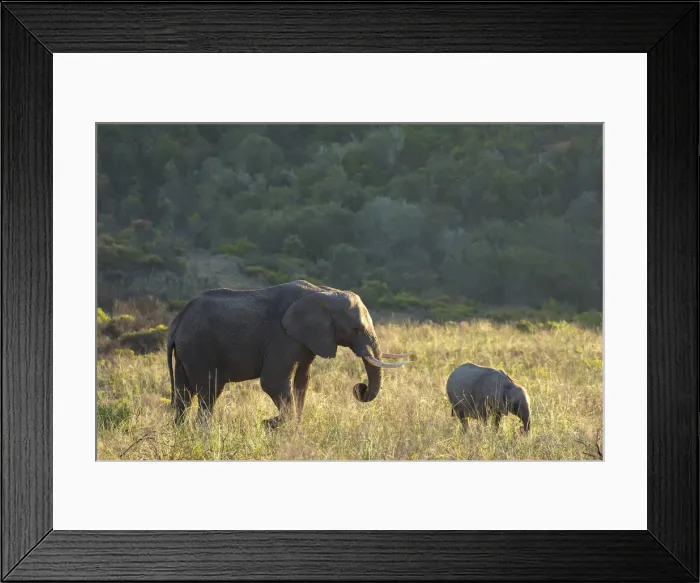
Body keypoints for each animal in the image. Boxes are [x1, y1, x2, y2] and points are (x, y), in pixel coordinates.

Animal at [166, 280, 410, 426]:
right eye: (355, 329)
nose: (361, 387)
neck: (324, 292)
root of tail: (178, 319)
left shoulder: (307, 340)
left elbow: (302, 380)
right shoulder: (282, 336)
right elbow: (273, 382)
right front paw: (278, 426)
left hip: (186, 352)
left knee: (183, 396)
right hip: (199, 348)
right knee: (209, 393)